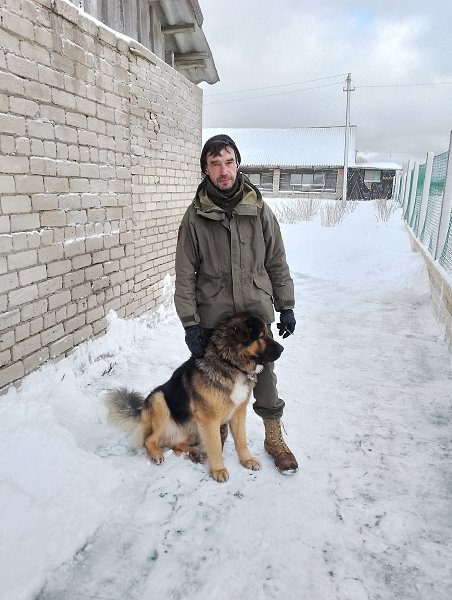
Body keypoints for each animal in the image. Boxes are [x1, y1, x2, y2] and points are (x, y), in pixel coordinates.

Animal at [106, 313, 284, 482]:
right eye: (261, 336)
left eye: (266, 333)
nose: (282, 349)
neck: (229, 363)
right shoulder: (209, 419)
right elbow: (215, 446)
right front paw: (218, 470)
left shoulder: (238, 413)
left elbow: (241, 440)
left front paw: (247, 460)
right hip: (160, 400)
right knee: (149, 439)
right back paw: (157, 454)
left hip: (192, 428)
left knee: (176, 443)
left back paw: (195, 454)